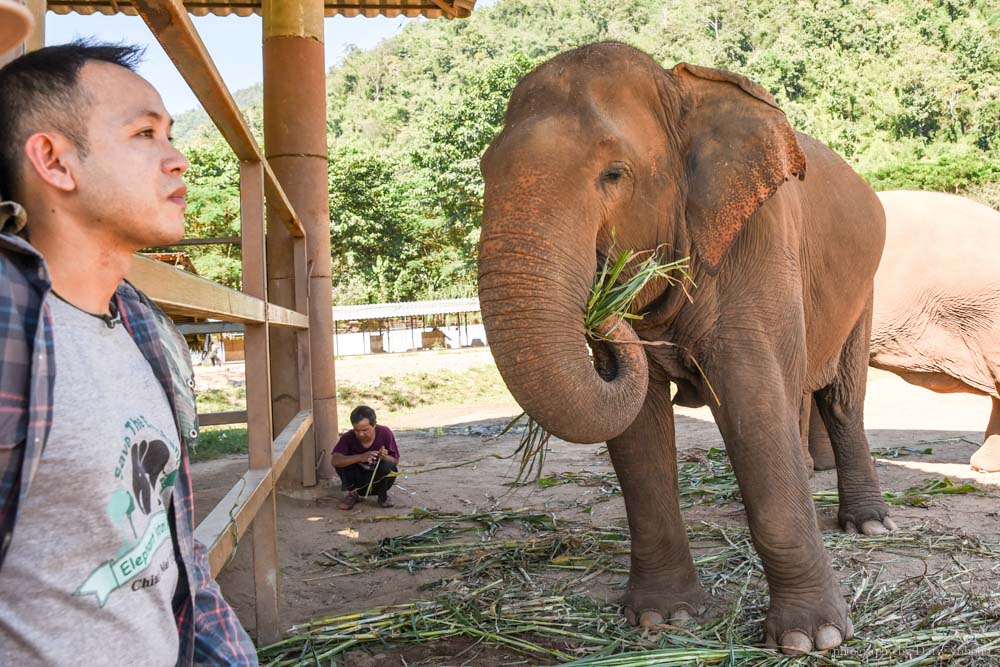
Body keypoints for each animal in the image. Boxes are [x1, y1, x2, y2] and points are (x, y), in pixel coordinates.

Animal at [476, 43, 892, 656]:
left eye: (614, 174)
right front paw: (661, 619)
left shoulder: (758, 237)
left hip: (863, 291)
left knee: (841, 399)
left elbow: (750, 397)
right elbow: (639, 426)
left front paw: (809, 639)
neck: (681, 92)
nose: (606, 284)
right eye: (485, 171)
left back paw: (869, 526)